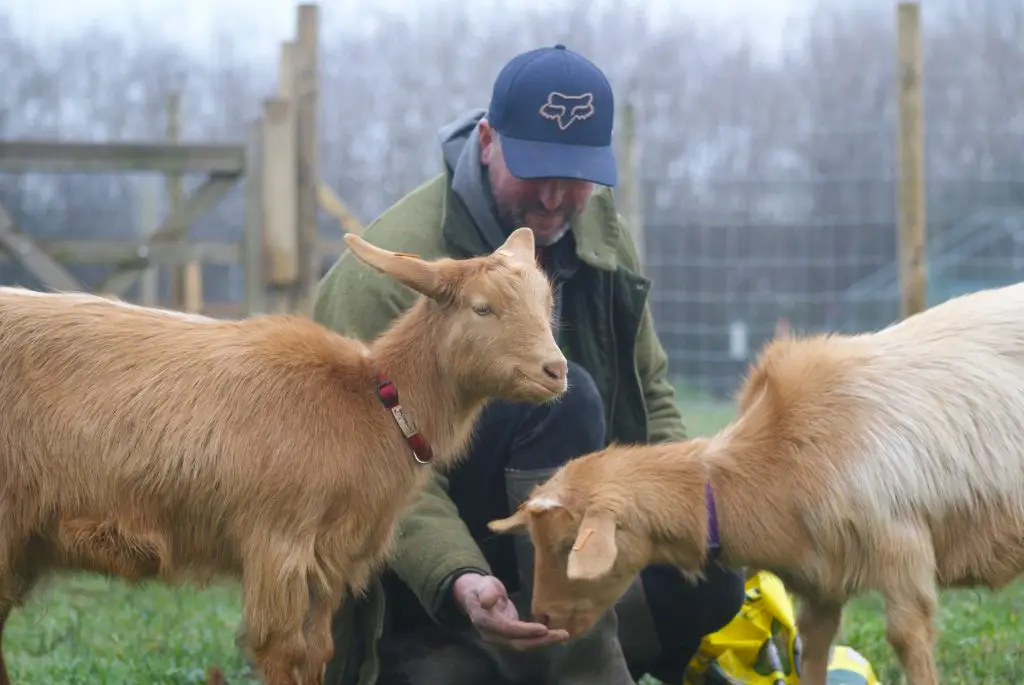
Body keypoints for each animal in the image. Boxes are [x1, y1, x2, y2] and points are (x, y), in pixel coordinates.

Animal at [0, 226, 568, 685]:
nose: (556, 371)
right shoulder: (277, 541)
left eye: (546, 305)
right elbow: (280, 651)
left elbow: (316, 651)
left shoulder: (326, 559)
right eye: (482, 307)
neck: (371, 403)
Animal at [489, 281, 1024, 685]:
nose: (543, 619)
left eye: (567, 545)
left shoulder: (903, 557)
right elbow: (812, 653)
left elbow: (908, 644)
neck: (772, 466)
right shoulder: (821, 583)